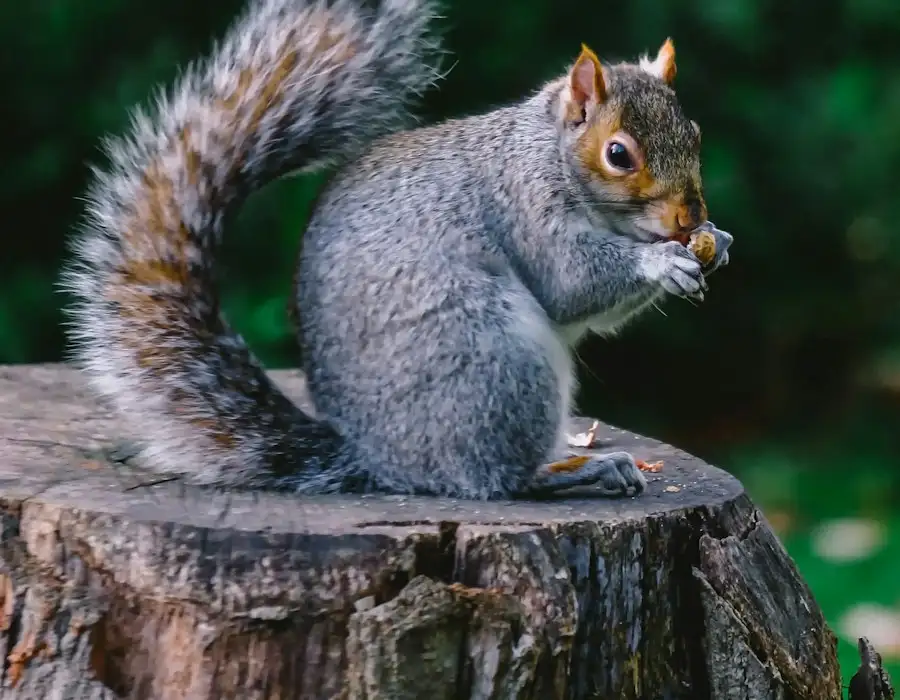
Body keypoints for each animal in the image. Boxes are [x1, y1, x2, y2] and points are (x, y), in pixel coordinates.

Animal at [62, 0, 731, 500]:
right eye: (619, 154)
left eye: (695, 132)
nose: (690, 217)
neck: (546, 153)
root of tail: (378, 461)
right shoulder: (524, 208)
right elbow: (571, 285)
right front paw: (661, 261)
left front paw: (716, 243)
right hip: (494, 360)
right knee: (495, 480)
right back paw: (576, 470)